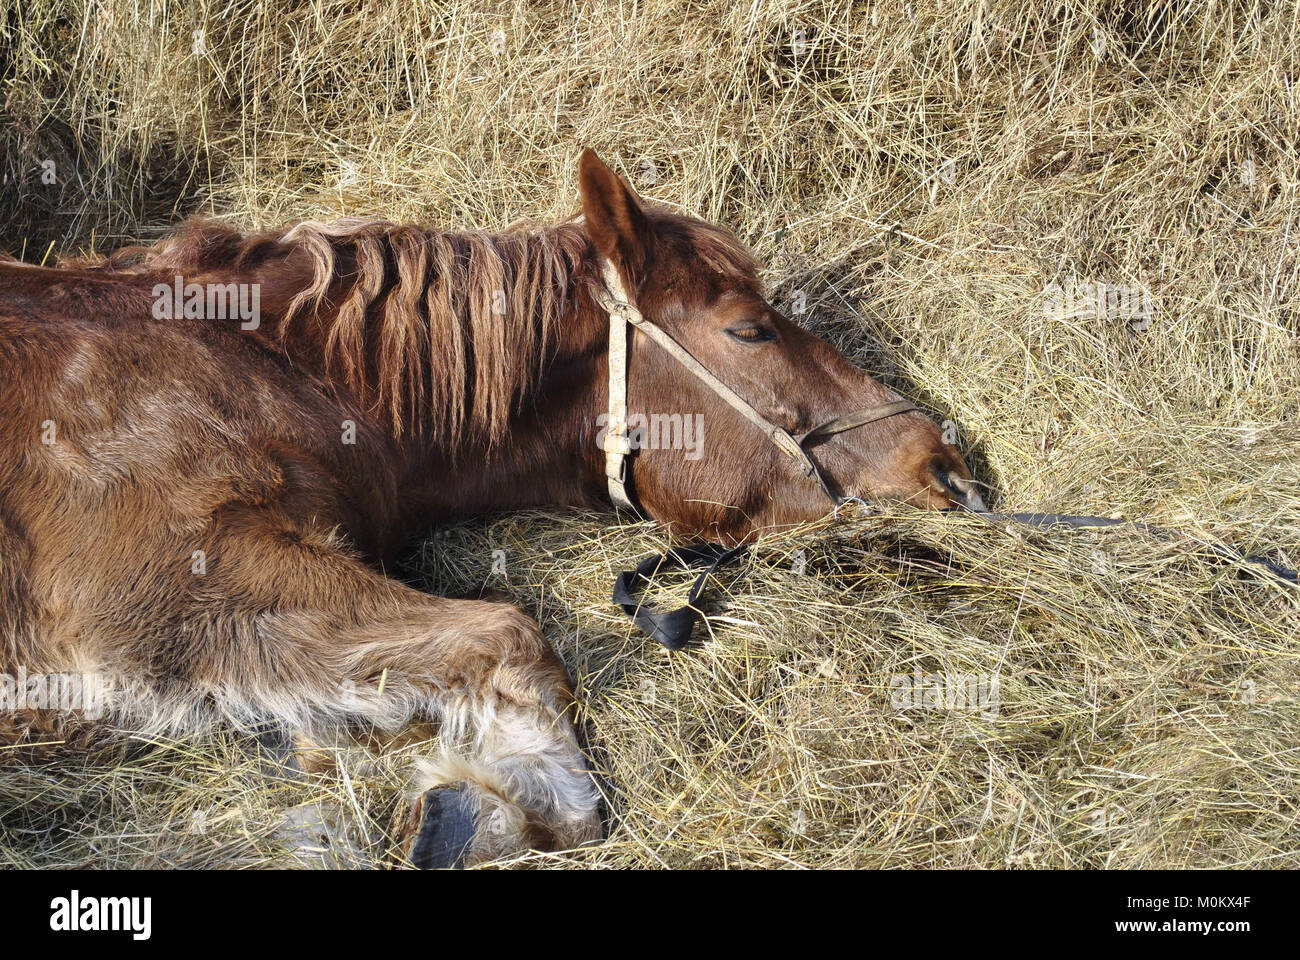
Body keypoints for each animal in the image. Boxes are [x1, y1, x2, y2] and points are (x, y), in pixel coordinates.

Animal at [0, 149, 983, 866]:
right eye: (751, 329)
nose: (943, 465)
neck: (252, 360)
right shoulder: (170, 586)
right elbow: (509, 631)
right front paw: (510, 803)